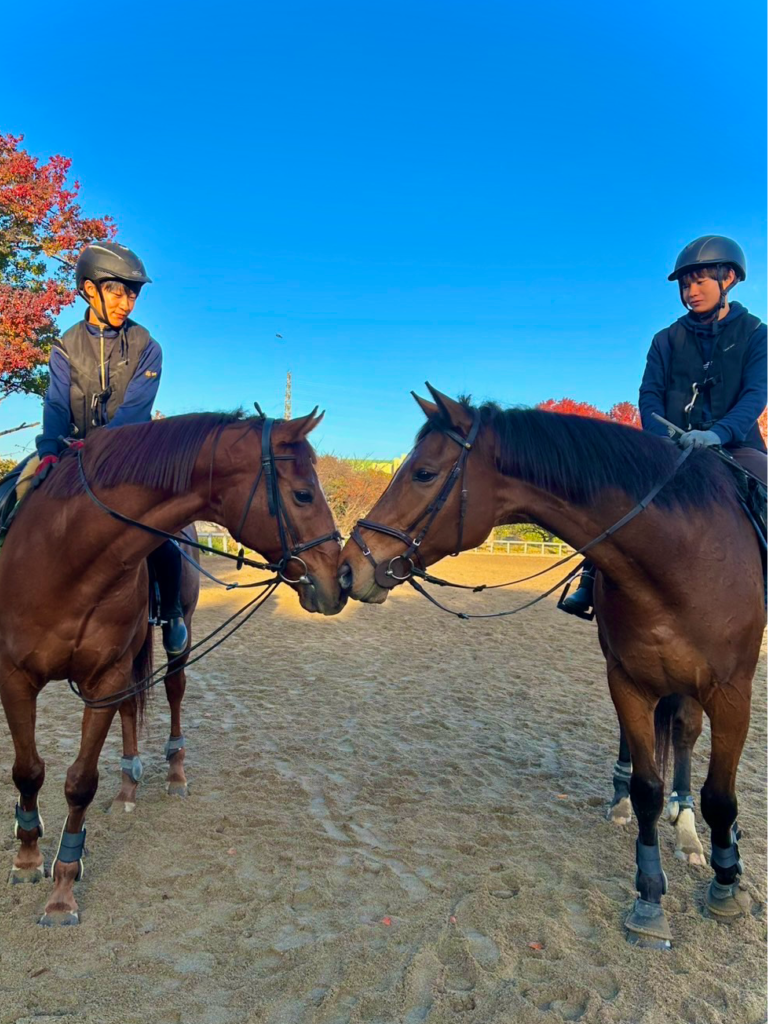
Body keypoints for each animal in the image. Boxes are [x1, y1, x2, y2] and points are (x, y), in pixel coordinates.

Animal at [0, 408, 346, 926]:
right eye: (303, 494)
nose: (338, 581)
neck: (63, 554)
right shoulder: (16, 679)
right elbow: (28, 771)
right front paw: (26, 858)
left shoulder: (104, 680)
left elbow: (80, 783)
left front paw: (63, 890)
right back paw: (127, 788)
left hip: (171, 643)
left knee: (174, 689)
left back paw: (172, 773)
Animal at [337, 385, 762, 947]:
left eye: (424, 473)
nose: (349, 568)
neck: (684, 554)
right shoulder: (626, 680)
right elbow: (648, 787)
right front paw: (649, 896)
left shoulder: (732, 692)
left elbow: (720, 796)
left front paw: (725, 882)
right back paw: (631, 803)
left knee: (686, 736)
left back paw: (693, 831)